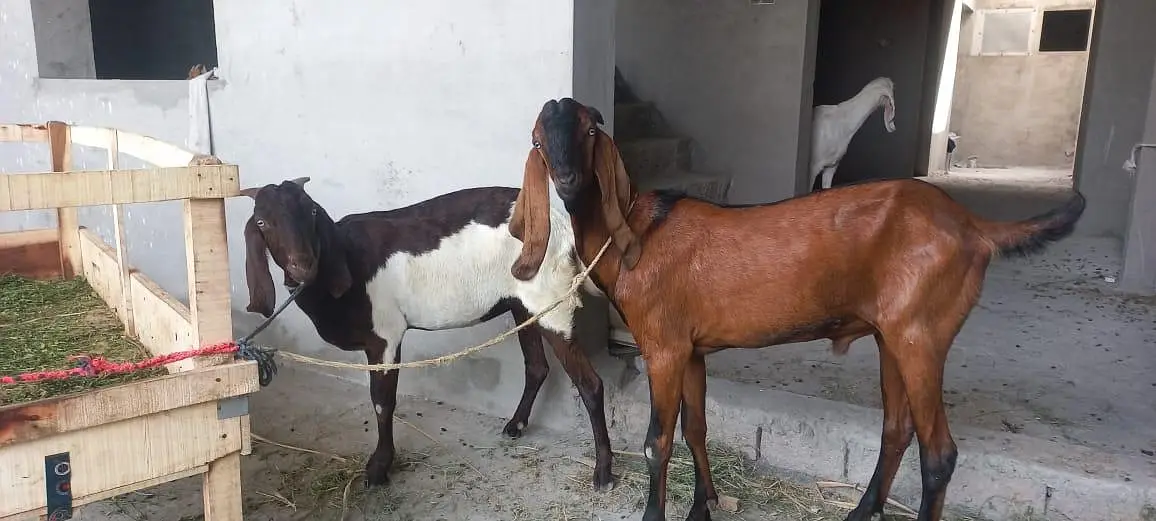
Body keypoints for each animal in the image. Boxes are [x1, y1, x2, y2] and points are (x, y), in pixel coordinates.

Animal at [240, 177, 616, 491]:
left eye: (312, 212)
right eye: (262, 222)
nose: (303, 265)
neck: (346, 261)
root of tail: (563, 225)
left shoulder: (385, 336)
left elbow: (382, 401)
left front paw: (379, 469)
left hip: (551, 300)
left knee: (590, 383)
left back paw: (603, 472)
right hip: (523, 303)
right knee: (537, 366)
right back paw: (516, 425)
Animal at [511, 98, 1086, 521]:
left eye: (589, 130)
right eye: (538, 138)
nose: (567, 180)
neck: (636, 232)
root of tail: (973, 227)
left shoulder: (664, 348)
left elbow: (658, 441)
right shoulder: (692, 349)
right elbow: (697, 427)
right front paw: (705, 505)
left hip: (923, 333)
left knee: (939, 451)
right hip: (892, 335)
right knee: (896, 428)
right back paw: (859, 512)